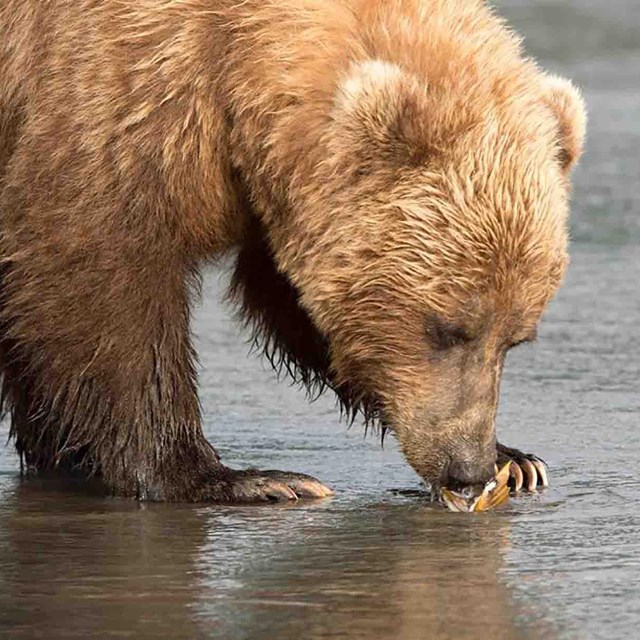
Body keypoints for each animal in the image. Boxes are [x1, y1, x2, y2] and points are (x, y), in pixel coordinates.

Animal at [0, 0, 584, 500]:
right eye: (446, 329)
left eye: (514, 340)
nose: (467, 468)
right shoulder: (112, 93)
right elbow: (99, 275)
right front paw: (236, 478)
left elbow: (295, 298)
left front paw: (519, 459)